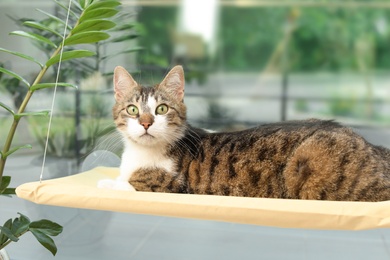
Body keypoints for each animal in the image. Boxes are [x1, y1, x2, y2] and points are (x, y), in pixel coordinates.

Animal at [96, 65, 390, 201]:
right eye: (133, 109)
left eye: (161, 108)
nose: (146, 123)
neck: (140, 154)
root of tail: (374, 147)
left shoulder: (172, 186)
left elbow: (130, 183)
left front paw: (108, 183)